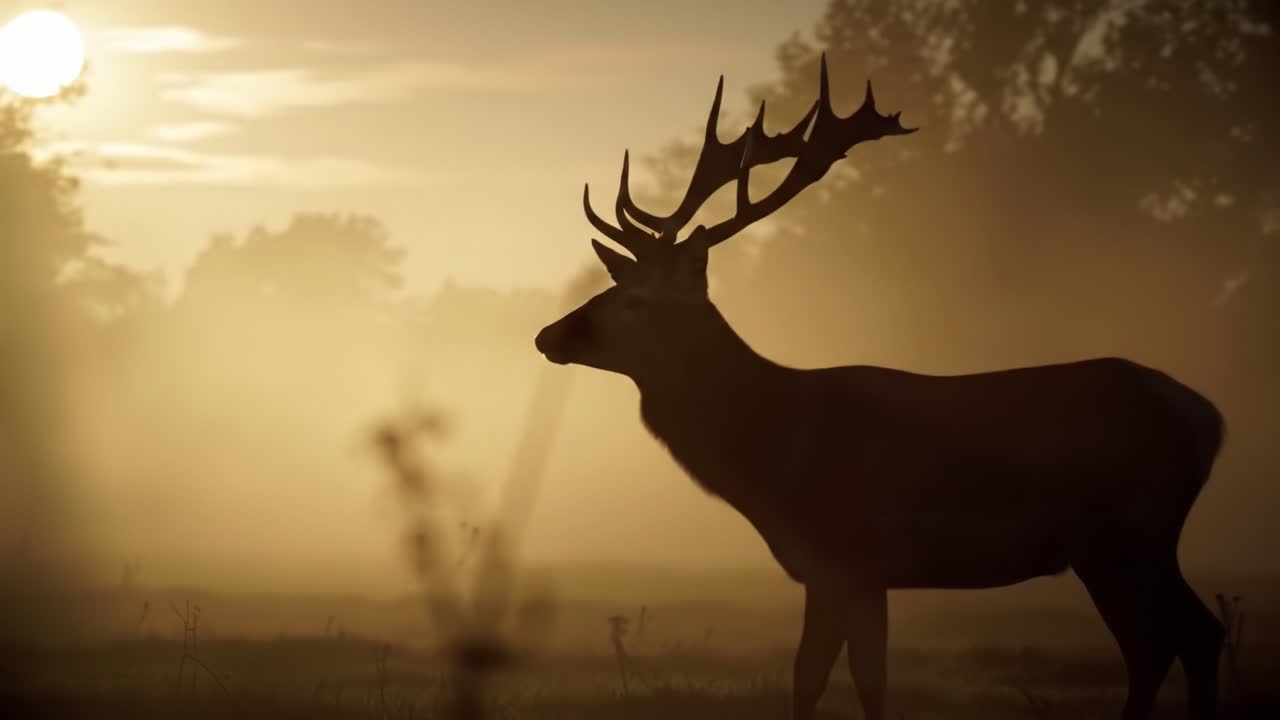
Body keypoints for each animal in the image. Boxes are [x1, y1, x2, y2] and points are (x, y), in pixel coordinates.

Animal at [534, 55, 1226, 720]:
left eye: (636, 301)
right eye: (614, 286)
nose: (548, 335)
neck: (775, 456)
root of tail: (1207, 418)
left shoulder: (844, 556)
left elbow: (819, 680)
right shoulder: (860, 574)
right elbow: (857, 681)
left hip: (1130, 529)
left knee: (1189, 635)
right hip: (1116, 543)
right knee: (1167, 642)